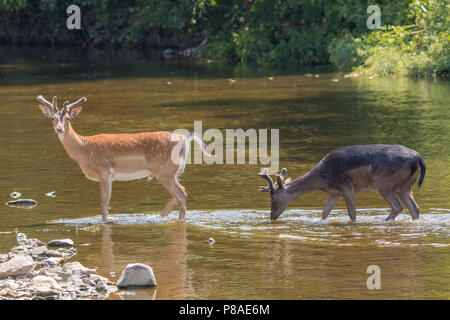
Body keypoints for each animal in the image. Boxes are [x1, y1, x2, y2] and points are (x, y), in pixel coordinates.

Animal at [37, 95, 211, 222]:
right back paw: (159, 217)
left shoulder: (104, 171)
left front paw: (106, 221)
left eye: (67, 118)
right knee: (180, 193)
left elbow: (104, 200)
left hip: (165, 171)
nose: (59, 129)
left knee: (181, 194)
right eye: (52, 118)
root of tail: (183, 138)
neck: (83, 149)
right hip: (169, 172)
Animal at [258, 146, 428, 222]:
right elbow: (325, 213)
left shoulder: (346, 187)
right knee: (415, 208)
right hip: (405, 187)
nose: (272, 216)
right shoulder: (334, 193)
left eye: (273, 198)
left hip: (385, 184)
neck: (323, 178)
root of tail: (419, 159)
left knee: (398, 206)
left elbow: (352, 213)